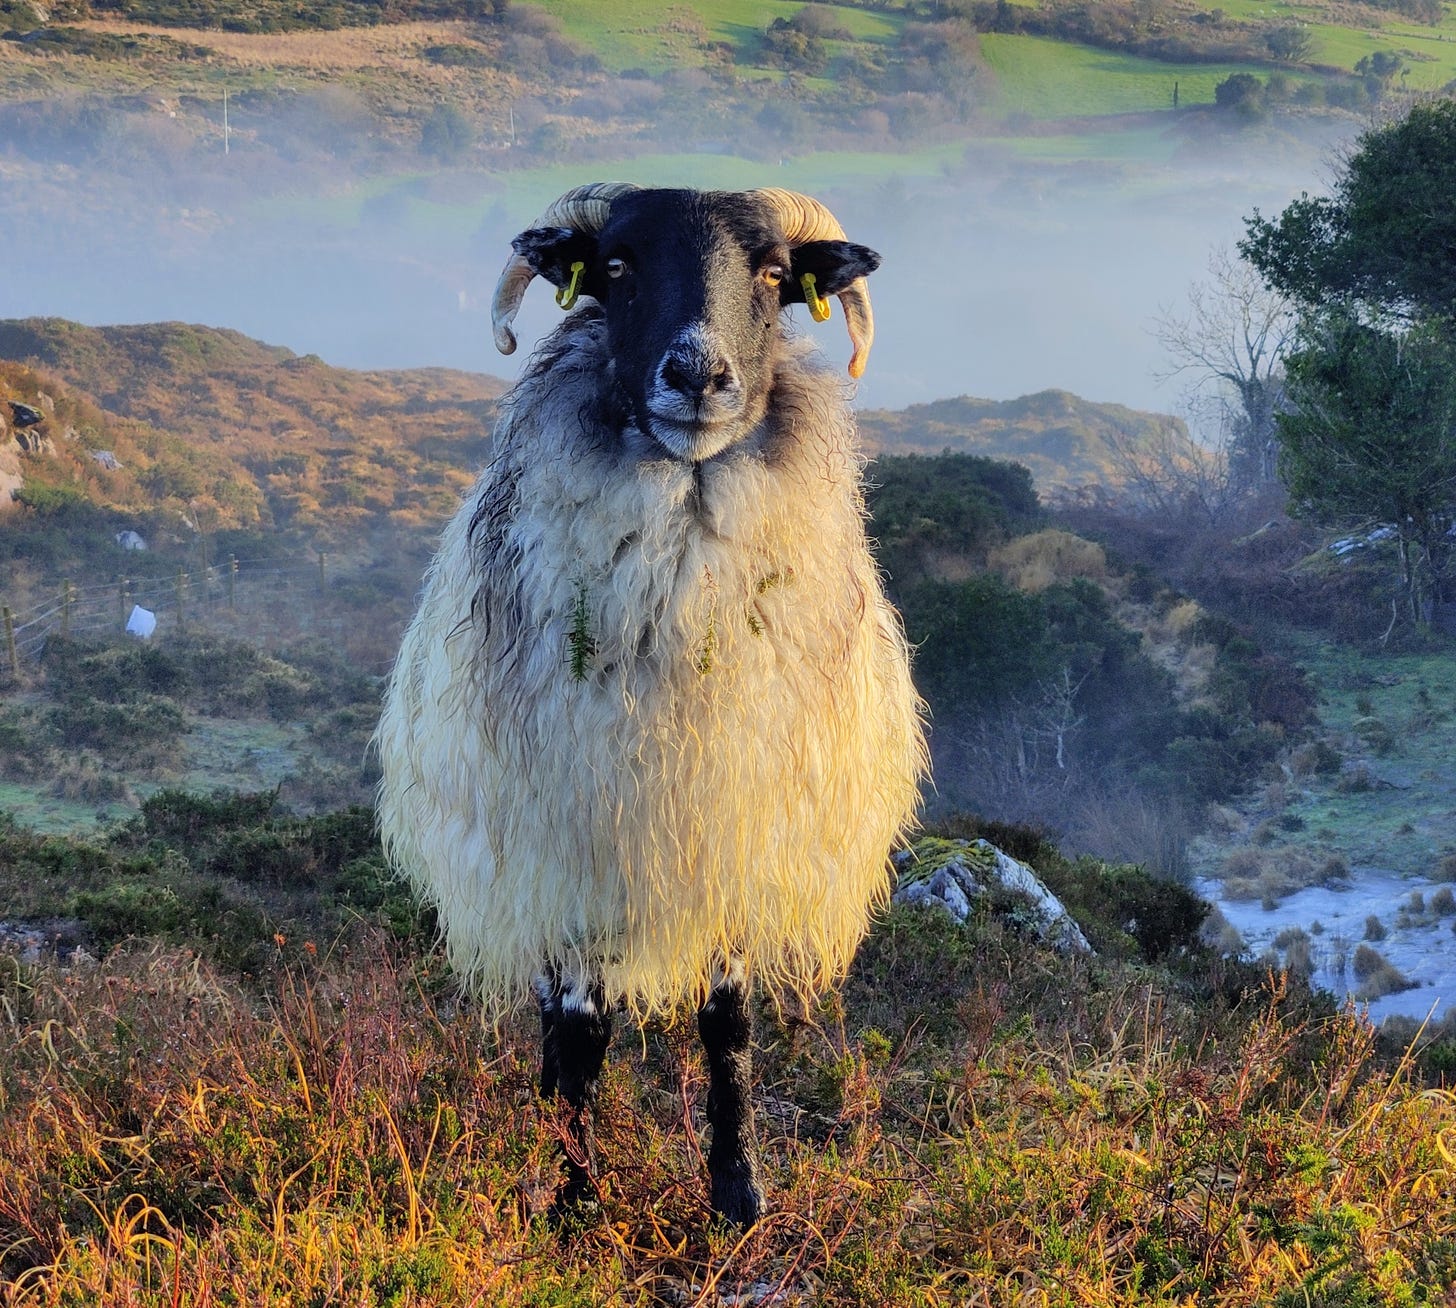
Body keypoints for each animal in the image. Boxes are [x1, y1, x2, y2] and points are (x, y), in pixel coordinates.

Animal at [372, 183, 920, 1223]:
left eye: (773, 275)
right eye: (618, 266)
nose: (699, 375)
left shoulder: (738, 837)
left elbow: (727, 1024)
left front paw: (737, 1191)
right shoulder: (575, 851)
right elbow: (582, 1033)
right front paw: (575, 1198)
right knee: (555, 1019)